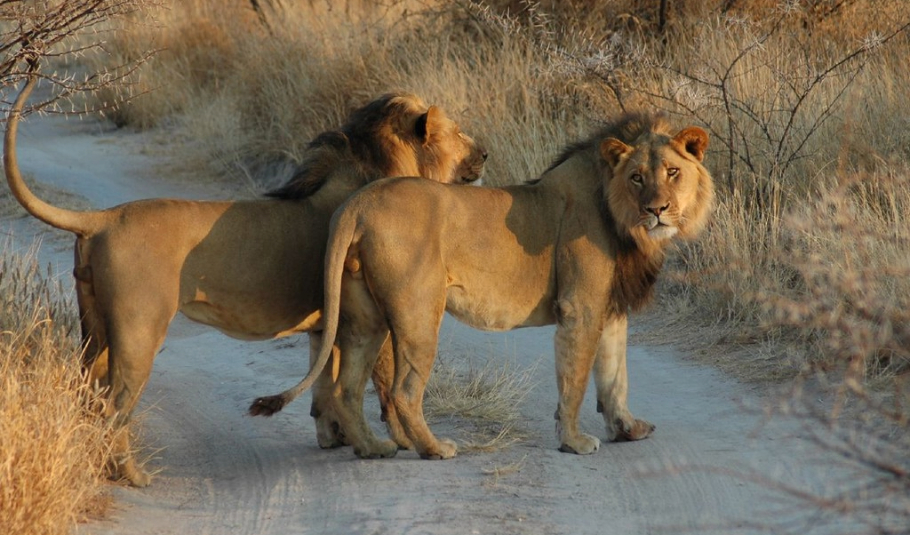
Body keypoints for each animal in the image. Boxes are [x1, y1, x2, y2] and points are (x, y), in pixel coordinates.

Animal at [3, 73, 488, 488]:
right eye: (459, 131)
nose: (485, 154)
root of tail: (102, 218)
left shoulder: (327, 322)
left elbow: (326, 384)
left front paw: (334, 439)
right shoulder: (373, 313)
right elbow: (383, 385)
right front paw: (400, 444)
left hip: (95, 332)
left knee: (88, 394)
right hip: (137, 332)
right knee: (115, 405)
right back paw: (131, 474)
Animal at [253, 112, 716, 460]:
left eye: (673, 172)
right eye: (637, 177)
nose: (657, 210)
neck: (620, 216)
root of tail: (358, 202)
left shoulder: (611, 305)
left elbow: (615, 374)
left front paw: (628, 428)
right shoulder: (579, 307)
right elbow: (576, 379)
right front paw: (574, 441)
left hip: (365, 318)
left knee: (346, 388)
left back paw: (373, 448)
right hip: (418, 311)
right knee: (403, 391)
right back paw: (433, 448)